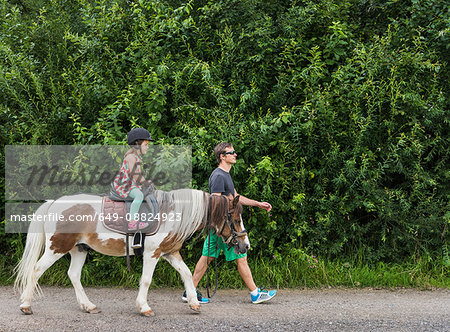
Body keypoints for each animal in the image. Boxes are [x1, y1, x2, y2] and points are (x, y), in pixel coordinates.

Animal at [14, 189, 250, 316]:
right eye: (235, 219)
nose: (245, 246)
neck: (171, 213)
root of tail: (54, 203)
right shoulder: (152, 254)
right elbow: (146, 280)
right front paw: (144, 307)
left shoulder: (170, 253)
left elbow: (187, 273)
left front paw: (193, 302)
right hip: (57, 248)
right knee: (36, 270)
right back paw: (25, 305)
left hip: (79, 249)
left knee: (73, 275)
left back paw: (88, 306)